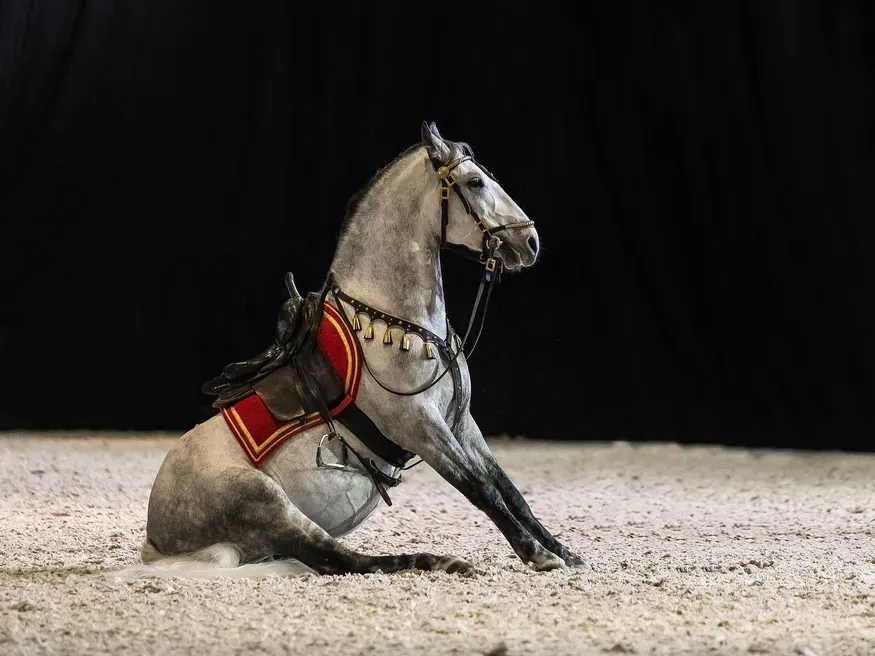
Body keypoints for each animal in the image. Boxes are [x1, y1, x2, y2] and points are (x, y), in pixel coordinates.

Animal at [137, 122, 587, 577]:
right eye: (476, 182)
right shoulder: (420, 427)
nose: (530, 242)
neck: (402, 325)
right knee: (338, 559)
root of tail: (156, 540)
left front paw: (564, 552)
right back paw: (440, 561)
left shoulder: (462, 424)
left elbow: (509, 490)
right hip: (267, 502)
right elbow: (480, 489)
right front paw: (539, 556)